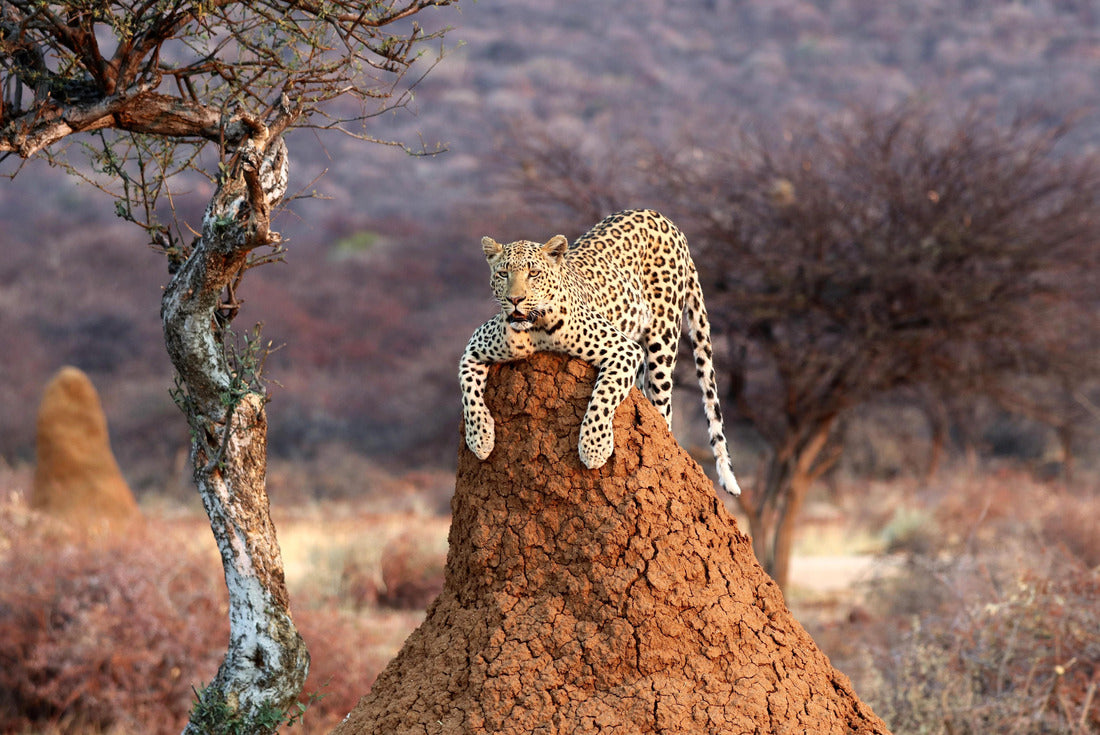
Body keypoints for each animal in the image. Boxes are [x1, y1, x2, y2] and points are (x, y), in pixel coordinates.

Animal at [459, 208, 740, 495]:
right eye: (503, 274)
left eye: (534, 273)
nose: (515, 299)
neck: (536, 328)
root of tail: (663, 218)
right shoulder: (474, 348)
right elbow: (469, 393)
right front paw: (480, 439)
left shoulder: (624, 349)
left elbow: (603, 396)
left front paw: (594, 449)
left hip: (663, 338)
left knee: (664, 409)